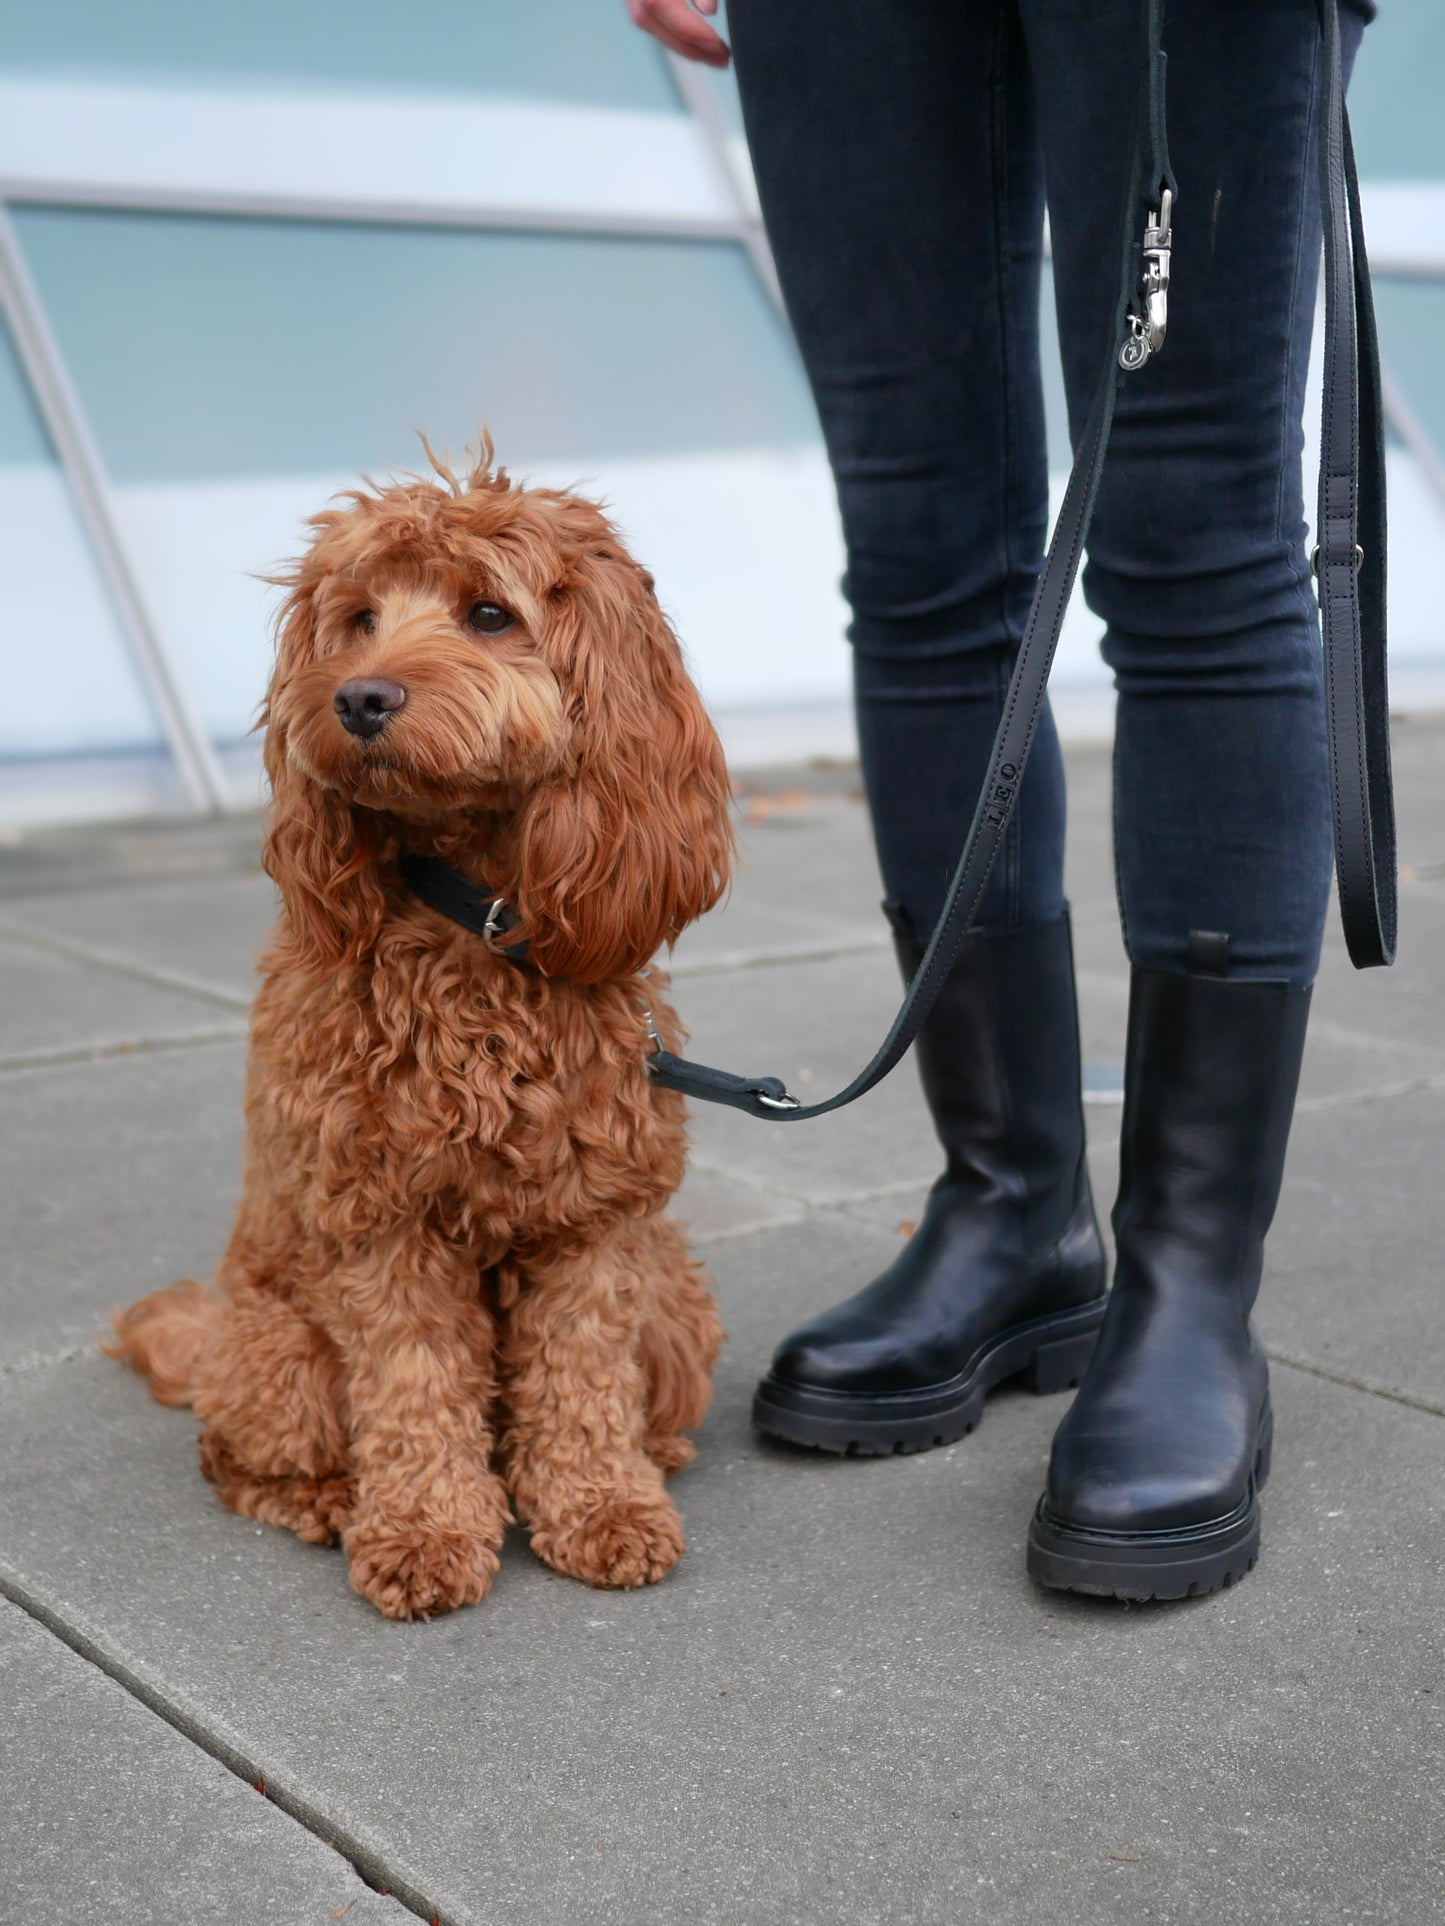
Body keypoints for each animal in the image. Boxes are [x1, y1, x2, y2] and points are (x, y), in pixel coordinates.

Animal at [108, 442, 735, 1617]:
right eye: (358, 619)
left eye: (489, 613)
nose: (358, 696)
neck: (473, 923)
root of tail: (208, 1340)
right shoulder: (380, 1226)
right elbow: (413, 1388)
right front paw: (423, 1534)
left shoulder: (591, 1226)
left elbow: (580, 1381)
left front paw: (600, 1507)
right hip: (281, 1359)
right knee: (231, 1455)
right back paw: (325, 1502)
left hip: (672, 1300)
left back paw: (644, 1459)